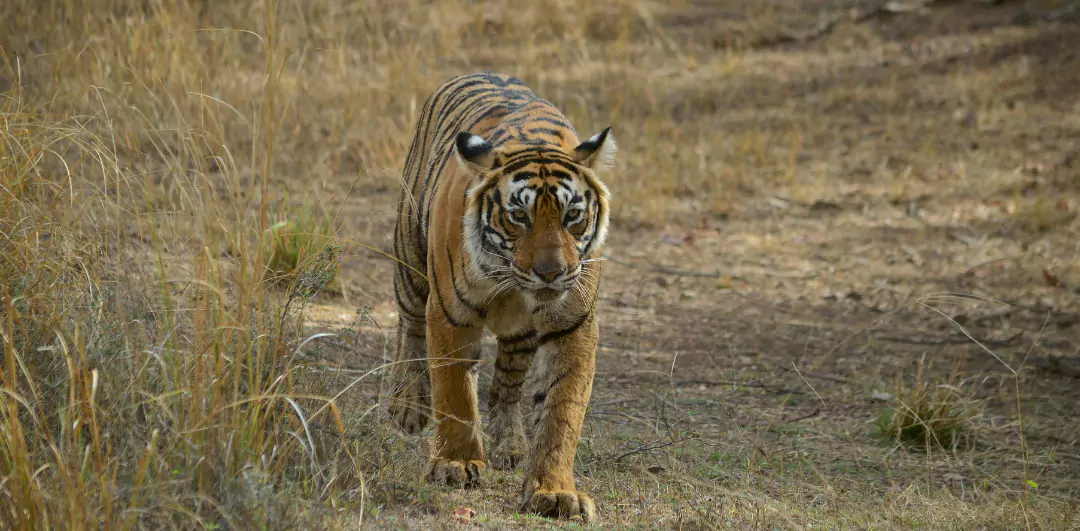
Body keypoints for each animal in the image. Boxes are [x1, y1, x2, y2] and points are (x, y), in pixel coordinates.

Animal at [387, 71, 615, 522]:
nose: (551, 272)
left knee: (507, 384)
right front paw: (455, 464)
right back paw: (409, 406)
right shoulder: (450, 313)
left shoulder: (573, 324)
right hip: (411, 264)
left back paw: (510, 445)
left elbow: (562, 411)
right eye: (519, 217)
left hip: (520, 336)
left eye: (572, 216)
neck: (514, 285)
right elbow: (454, 391)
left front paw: (554, 491)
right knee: (410, 330)